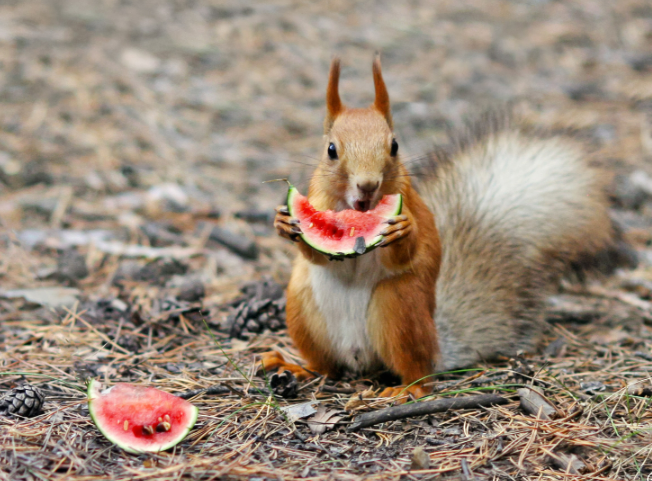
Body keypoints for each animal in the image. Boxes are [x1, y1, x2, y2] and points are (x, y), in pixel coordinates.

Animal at [262, 55, 623, 400]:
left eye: (394, 146)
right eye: (331, 150)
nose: (367, 185)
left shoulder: (411, 204)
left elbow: (410, 249)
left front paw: (403, 231)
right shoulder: (319, 202)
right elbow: (314, 254)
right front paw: (284, 222)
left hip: (398, 307)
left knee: (419, 372)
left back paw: (407, 389)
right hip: (302, 309)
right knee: (327, 367)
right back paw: (296, 368)